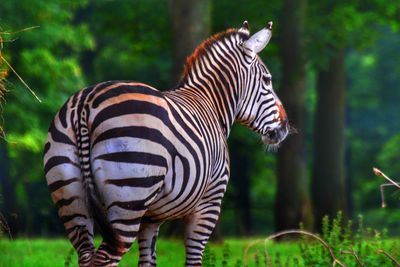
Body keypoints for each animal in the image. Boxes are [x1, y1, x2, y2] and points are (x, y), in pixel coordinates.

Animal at [43, 19, 288, 266]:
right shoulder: (209, 201)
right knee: (104, 258)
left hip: (71, 200)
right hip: (128, 200)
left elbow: (148, 260)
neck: (210, 104)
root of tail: (85, 104)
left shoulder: (151, 218)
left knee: (85, 253)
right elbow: (194, 259)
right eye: (267, 80)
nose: (285, 127)